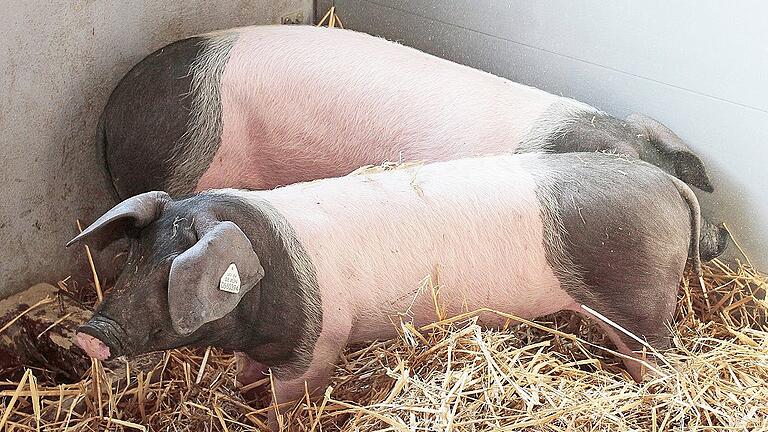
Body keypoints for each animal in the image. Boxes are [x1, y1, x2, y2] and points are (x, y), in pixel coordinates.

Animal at [70, 151, 704, 418]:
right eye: (132, 260)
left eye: (173, 273)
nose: (88, 335)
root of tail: (669, 185)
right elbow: (248, 376)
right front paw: (239, 389)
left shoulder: (319, 345)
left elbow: (290, 398)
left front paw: (271, 416)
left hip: (643, 299)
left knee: (659, 355)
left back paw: (656, 391)